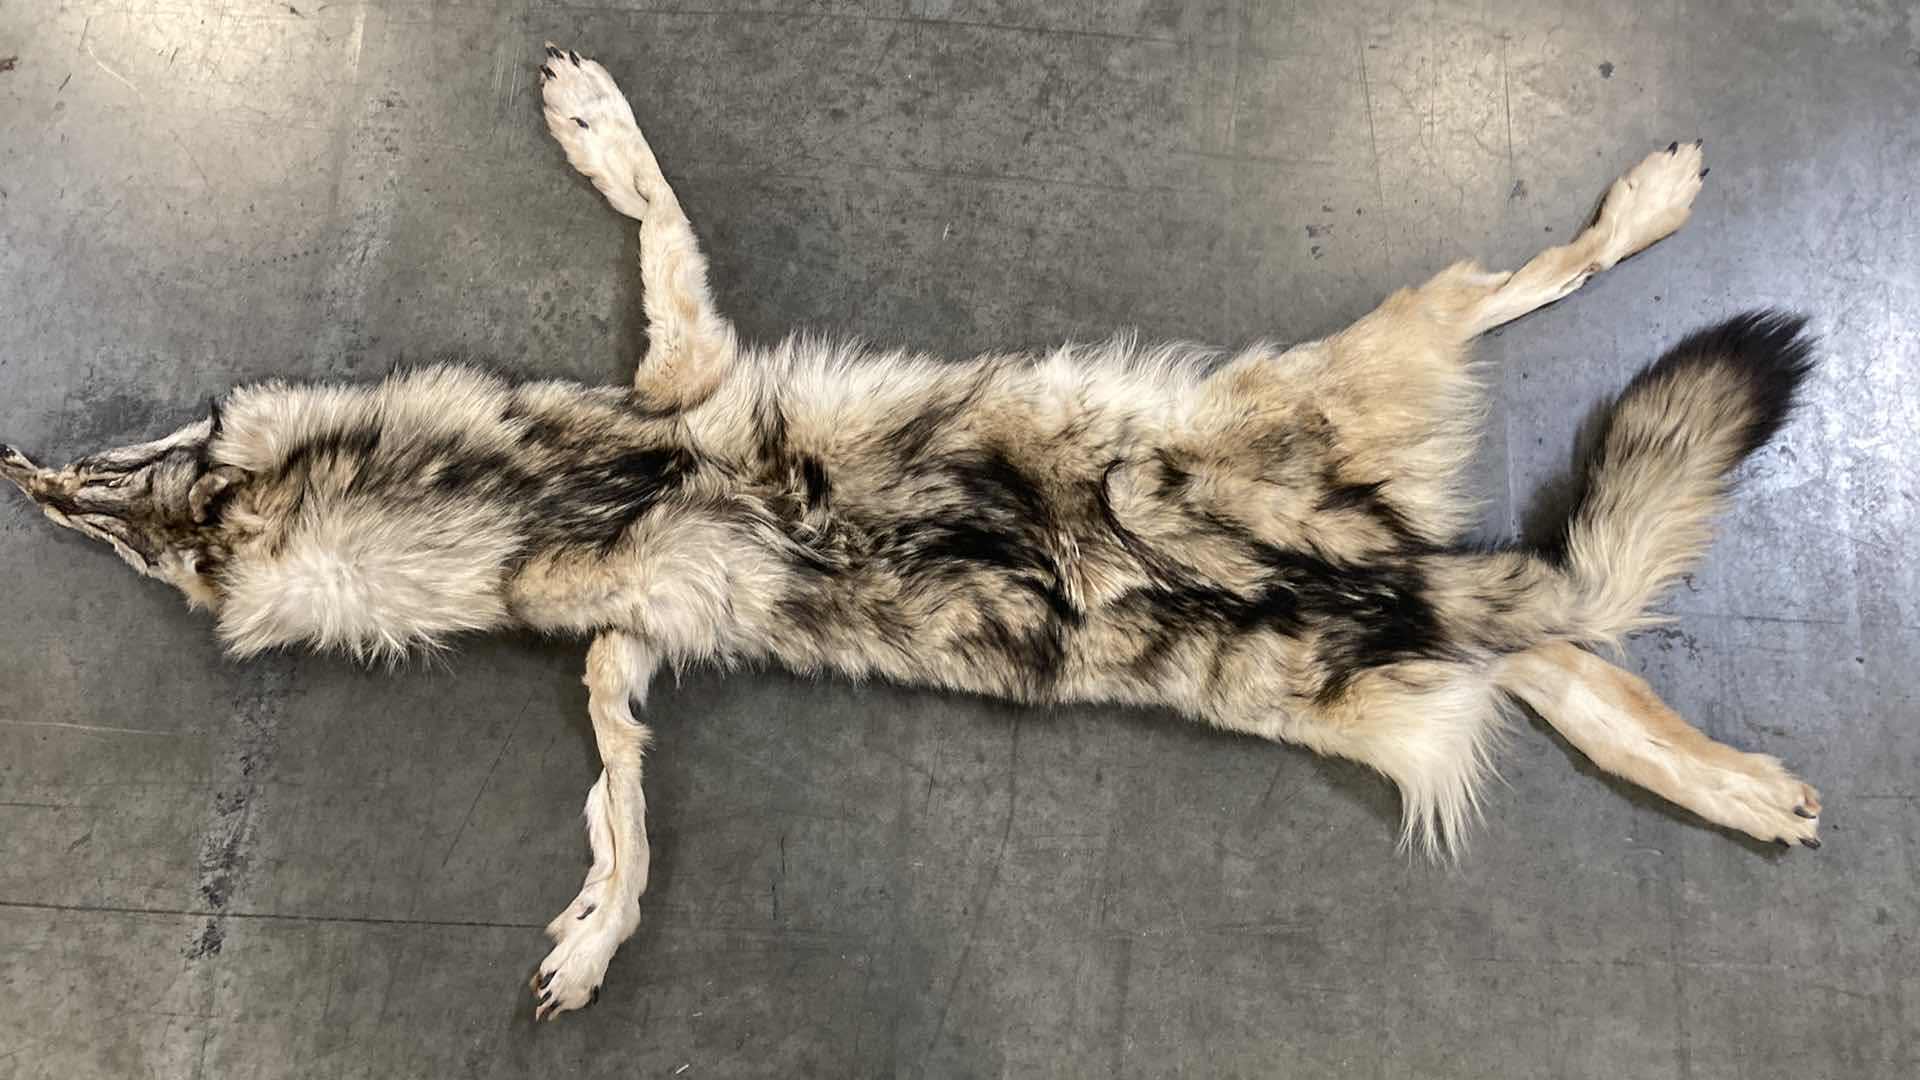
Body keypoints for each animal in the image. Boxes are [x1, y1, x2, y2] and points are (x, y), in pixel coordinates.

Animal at [1, 45, 1821, 1020]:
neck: (540, 499)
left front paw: (594, 116)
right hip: (1362, 684)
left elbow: (651, 204)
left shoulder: (679, 373)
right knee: (1574, 660)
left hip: (1366, 376)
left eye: (167, 481)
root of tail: (1409, 573)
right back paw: (1746, 791)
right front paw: (598, 928)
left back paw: (1653, 195)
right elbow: (619, 802)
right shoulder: (618, 653)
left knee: (1530, 292)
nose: (32, 478)